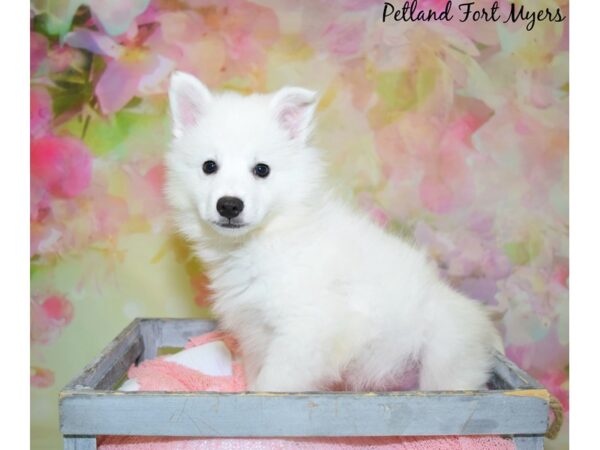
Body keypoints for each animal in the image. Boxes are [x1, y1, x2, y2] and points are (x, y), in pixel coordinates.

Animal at [164, 72, 502, 392]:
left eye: (262, 170)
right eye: (209, 166)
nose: (229, 205)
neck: (265, 239)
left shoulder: (306, 331)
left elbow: (273, 383)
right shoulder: (255, 333)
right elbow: (256, 376)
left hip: (445, 359)